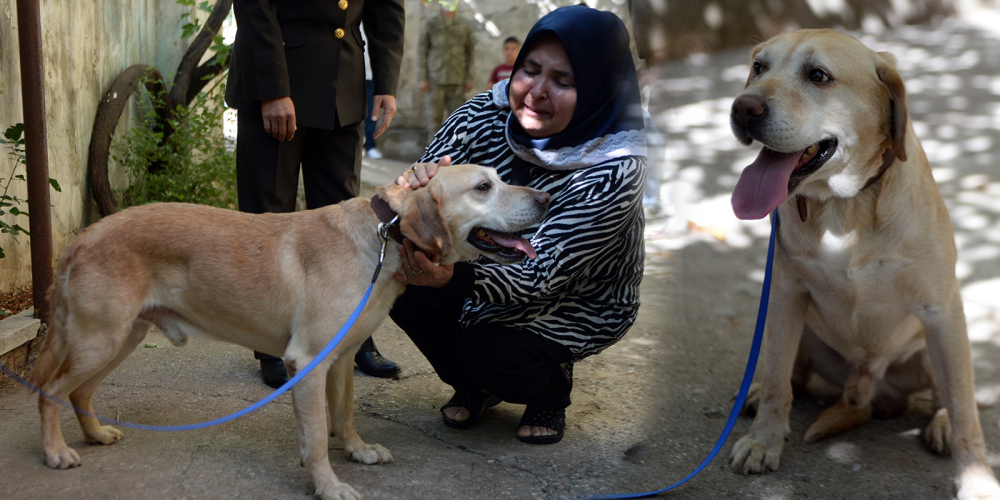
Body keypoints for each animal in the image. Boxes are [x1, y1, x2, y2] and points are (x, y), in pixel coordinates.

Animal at [27, 165, 552, 500]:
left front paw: (357, 452)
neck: (384, 236)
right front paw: (327, 485)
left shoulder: (341, 360)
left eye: (500, 178)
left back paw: (94, 434)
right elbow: (318, 436)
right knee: (49, 390)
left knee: (79, 392)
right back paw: (55, 452)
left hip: (119, 339)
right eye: (484, 186)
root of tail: (80, 239)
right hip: (99, 340)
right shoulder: (308, 361)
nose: (546, 197)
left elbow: (344, 416)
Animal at [728, 29, 1000, 498]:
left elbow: (966, 409)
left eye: (818, 75)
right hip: (801, 328)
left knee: (950, 396)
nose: (743, 108)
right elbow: (779, 382)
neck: (846, 207)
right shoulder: (785, 294)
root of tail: (870, 392)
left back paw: (941, 425)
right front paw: (764, 441)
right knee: (790, 377)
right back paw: (758, 392)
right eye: (758, 67)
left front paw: (977, 478)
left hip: (936, 344)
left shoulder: (942, 311)